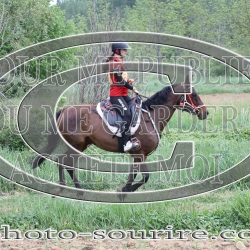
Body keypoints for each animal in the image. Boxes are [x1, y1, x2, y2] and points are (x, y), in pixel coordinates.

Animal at [32, 83, 209, 192]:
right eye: (193, 94)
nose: (205, 113)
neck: (151, 116)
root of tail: (64, 110)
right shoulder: (140, 154)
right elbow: (145, 177)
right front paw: (125, 190)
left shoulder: (138, 155)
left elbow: (134, 176)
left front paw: (124, 190)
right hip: (75, 145)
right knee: (66, 163)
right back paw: (77, 190)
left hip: (80, 145)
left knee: (64, 162)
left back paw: (66, 188)